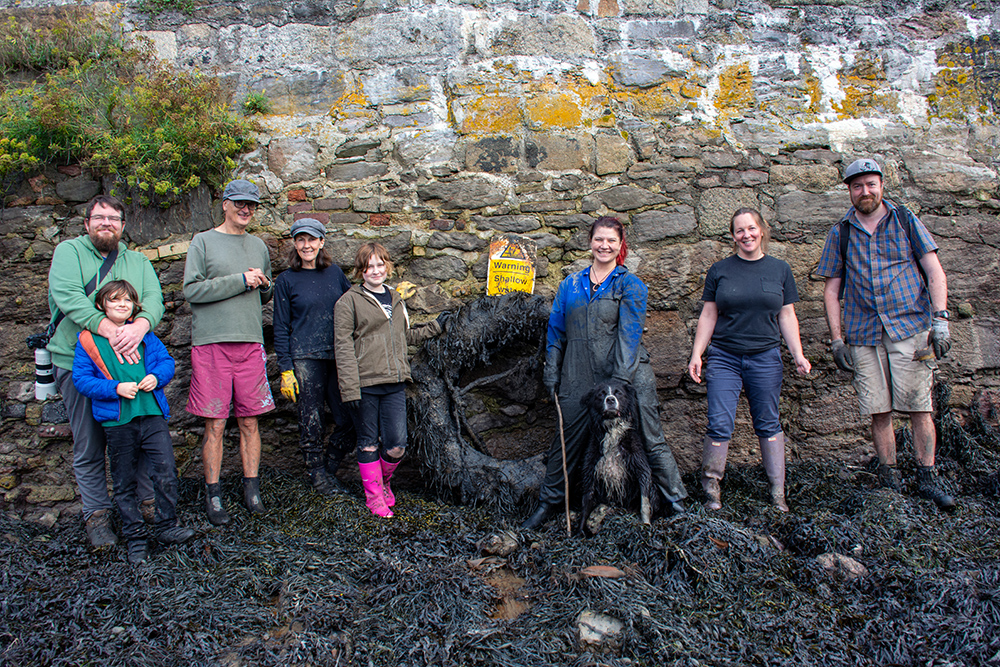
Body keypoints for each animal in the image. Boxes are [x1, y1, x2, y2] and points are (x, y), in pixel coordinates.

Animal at [580, 380, 656, 536]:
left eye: (618, 393)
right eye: (601, 394)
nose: (610, 399)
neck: (612, 428)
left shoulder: (641, 468)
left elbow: (644, 501)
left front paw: (646, 524)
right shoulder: (590, 472)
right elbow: (586, 503)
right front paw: (580, 531)